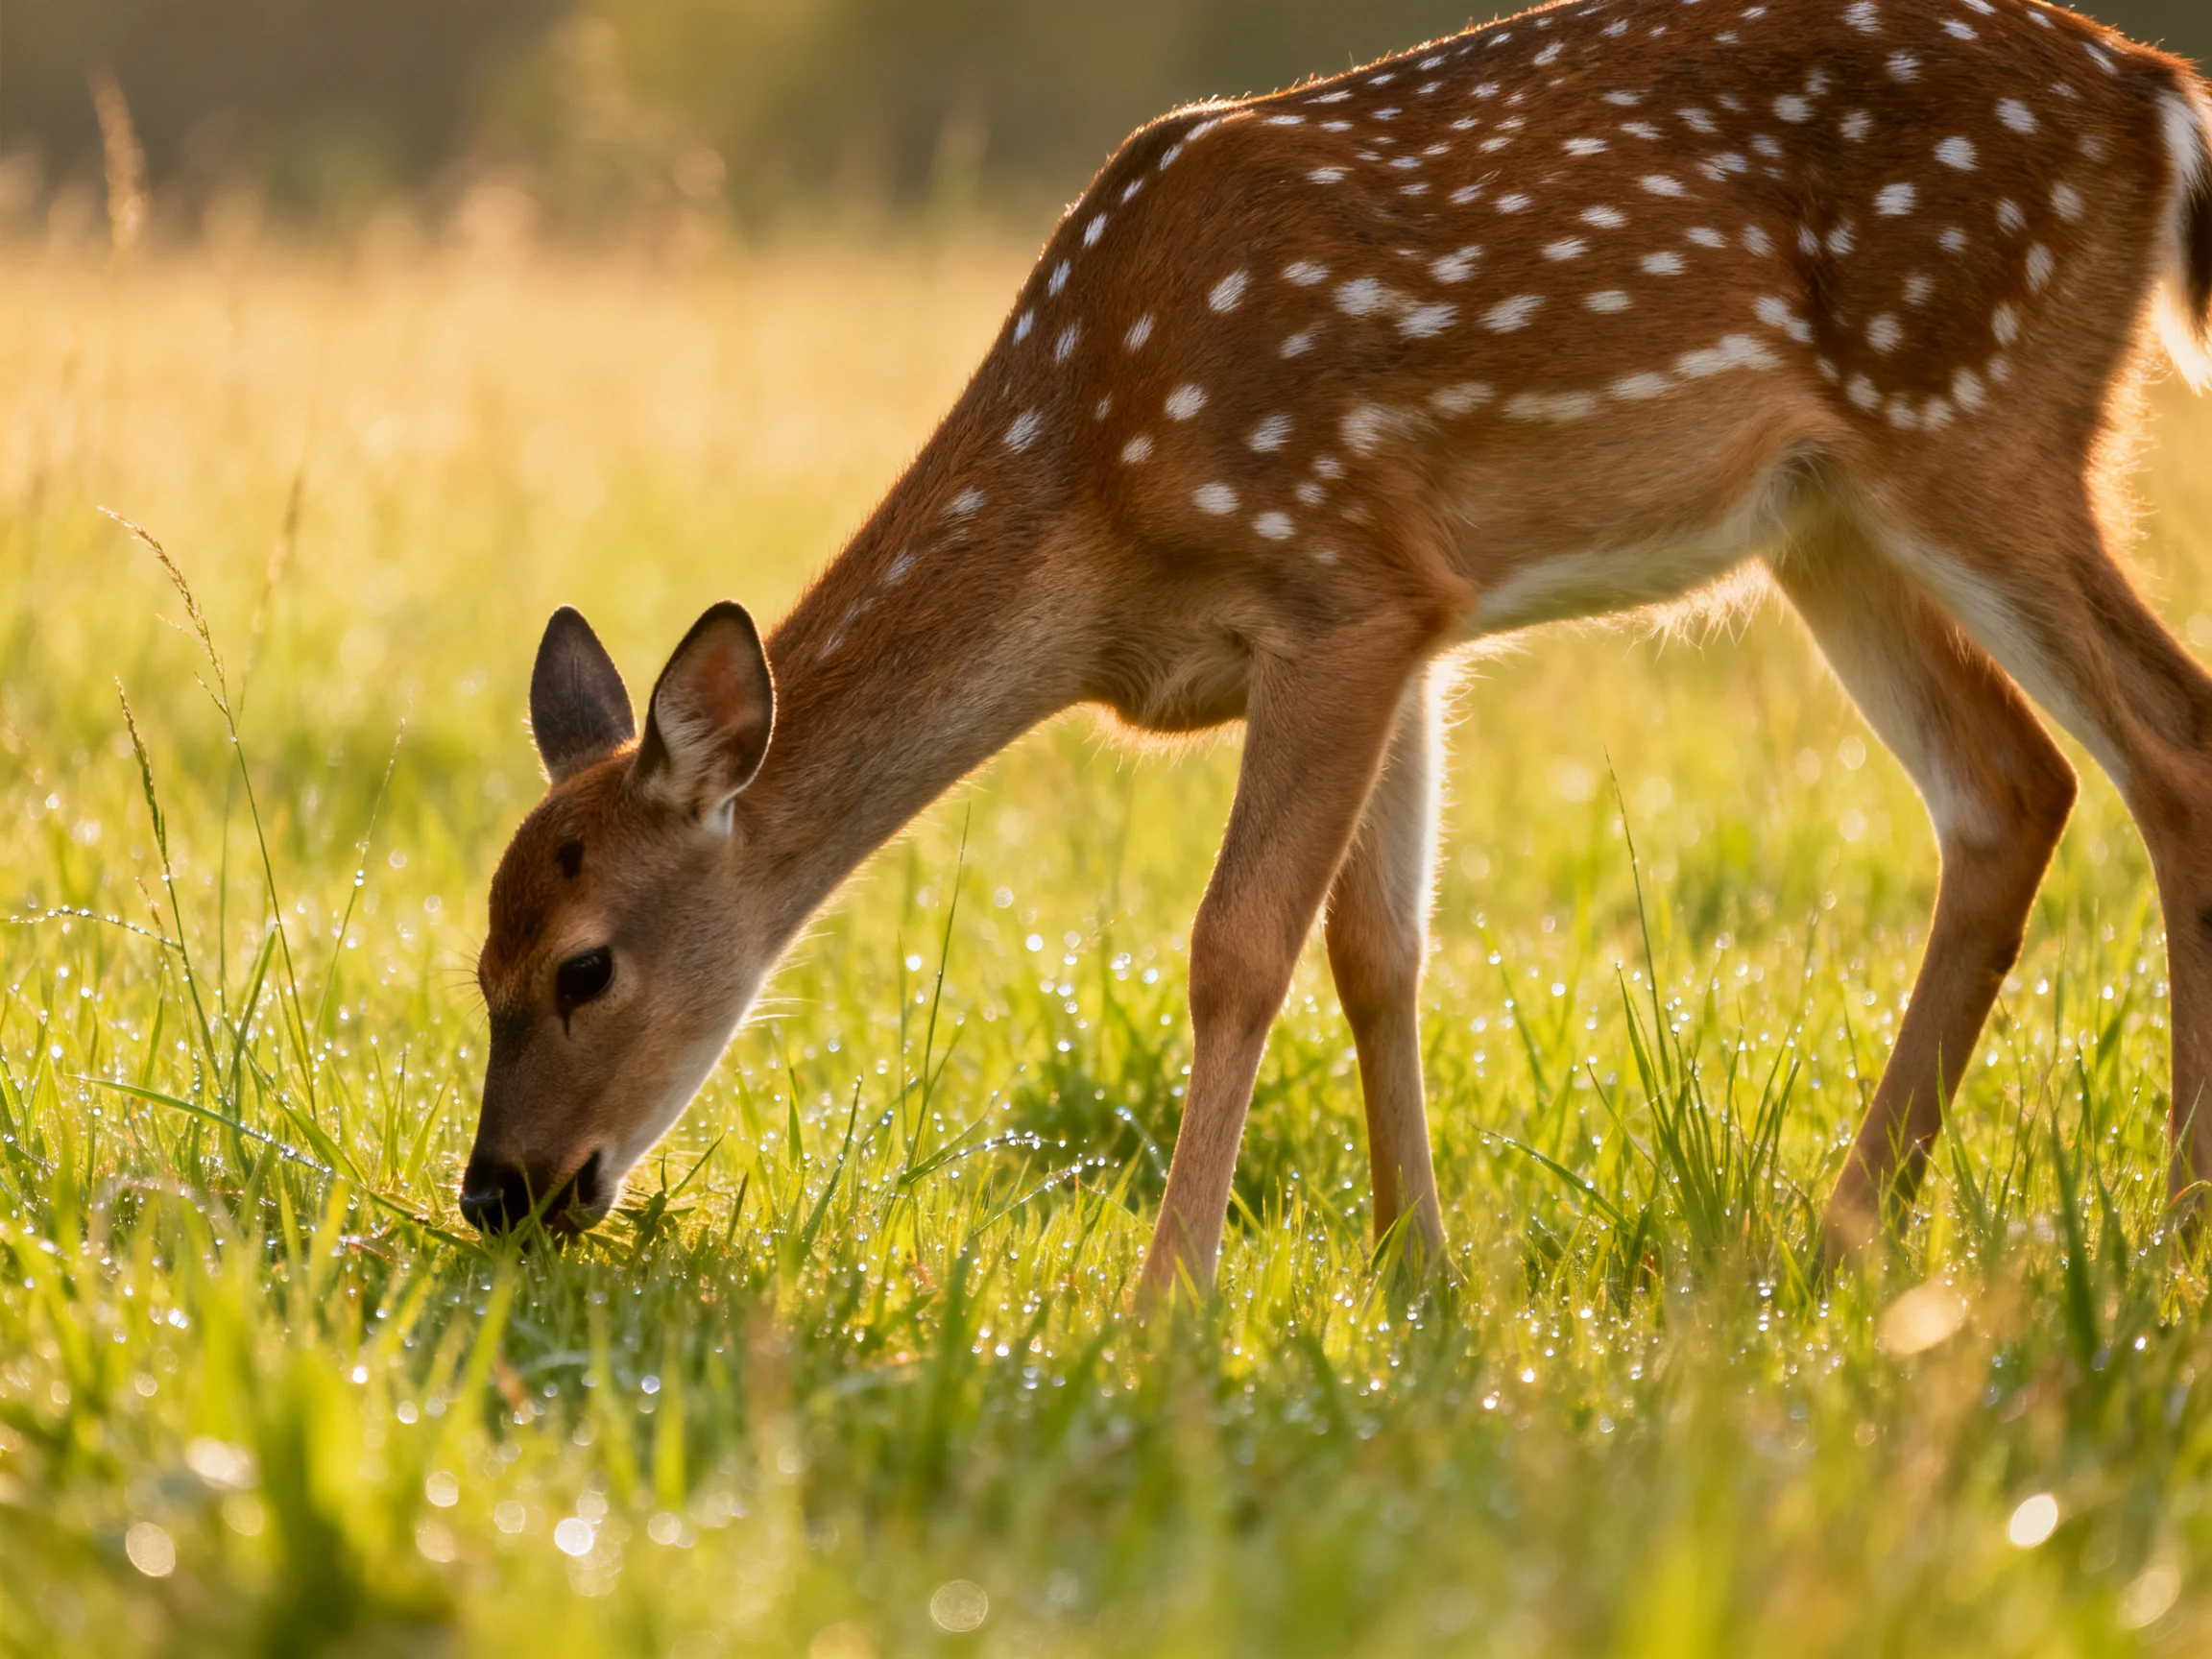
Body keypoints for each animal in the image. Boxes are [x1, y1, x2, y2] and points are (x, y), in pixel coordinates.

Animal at [460, 0, 2212, 1295]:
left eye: (583, 964)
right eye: (474, 961)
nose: (499, 1191)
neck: (1086, 494)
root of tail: (2160, 94)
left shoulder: (1335, 584)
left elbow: (1236, 945)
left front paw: (1166, 1295)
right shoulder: (1407, 618)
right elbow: (1380, 950)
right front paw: (1415, 1269)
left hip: (1976, 415)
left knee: (2166, 740)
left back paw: (2168, 1217)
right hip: (1826, 515)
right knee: (2010, 786)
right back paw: (1844, 1231)